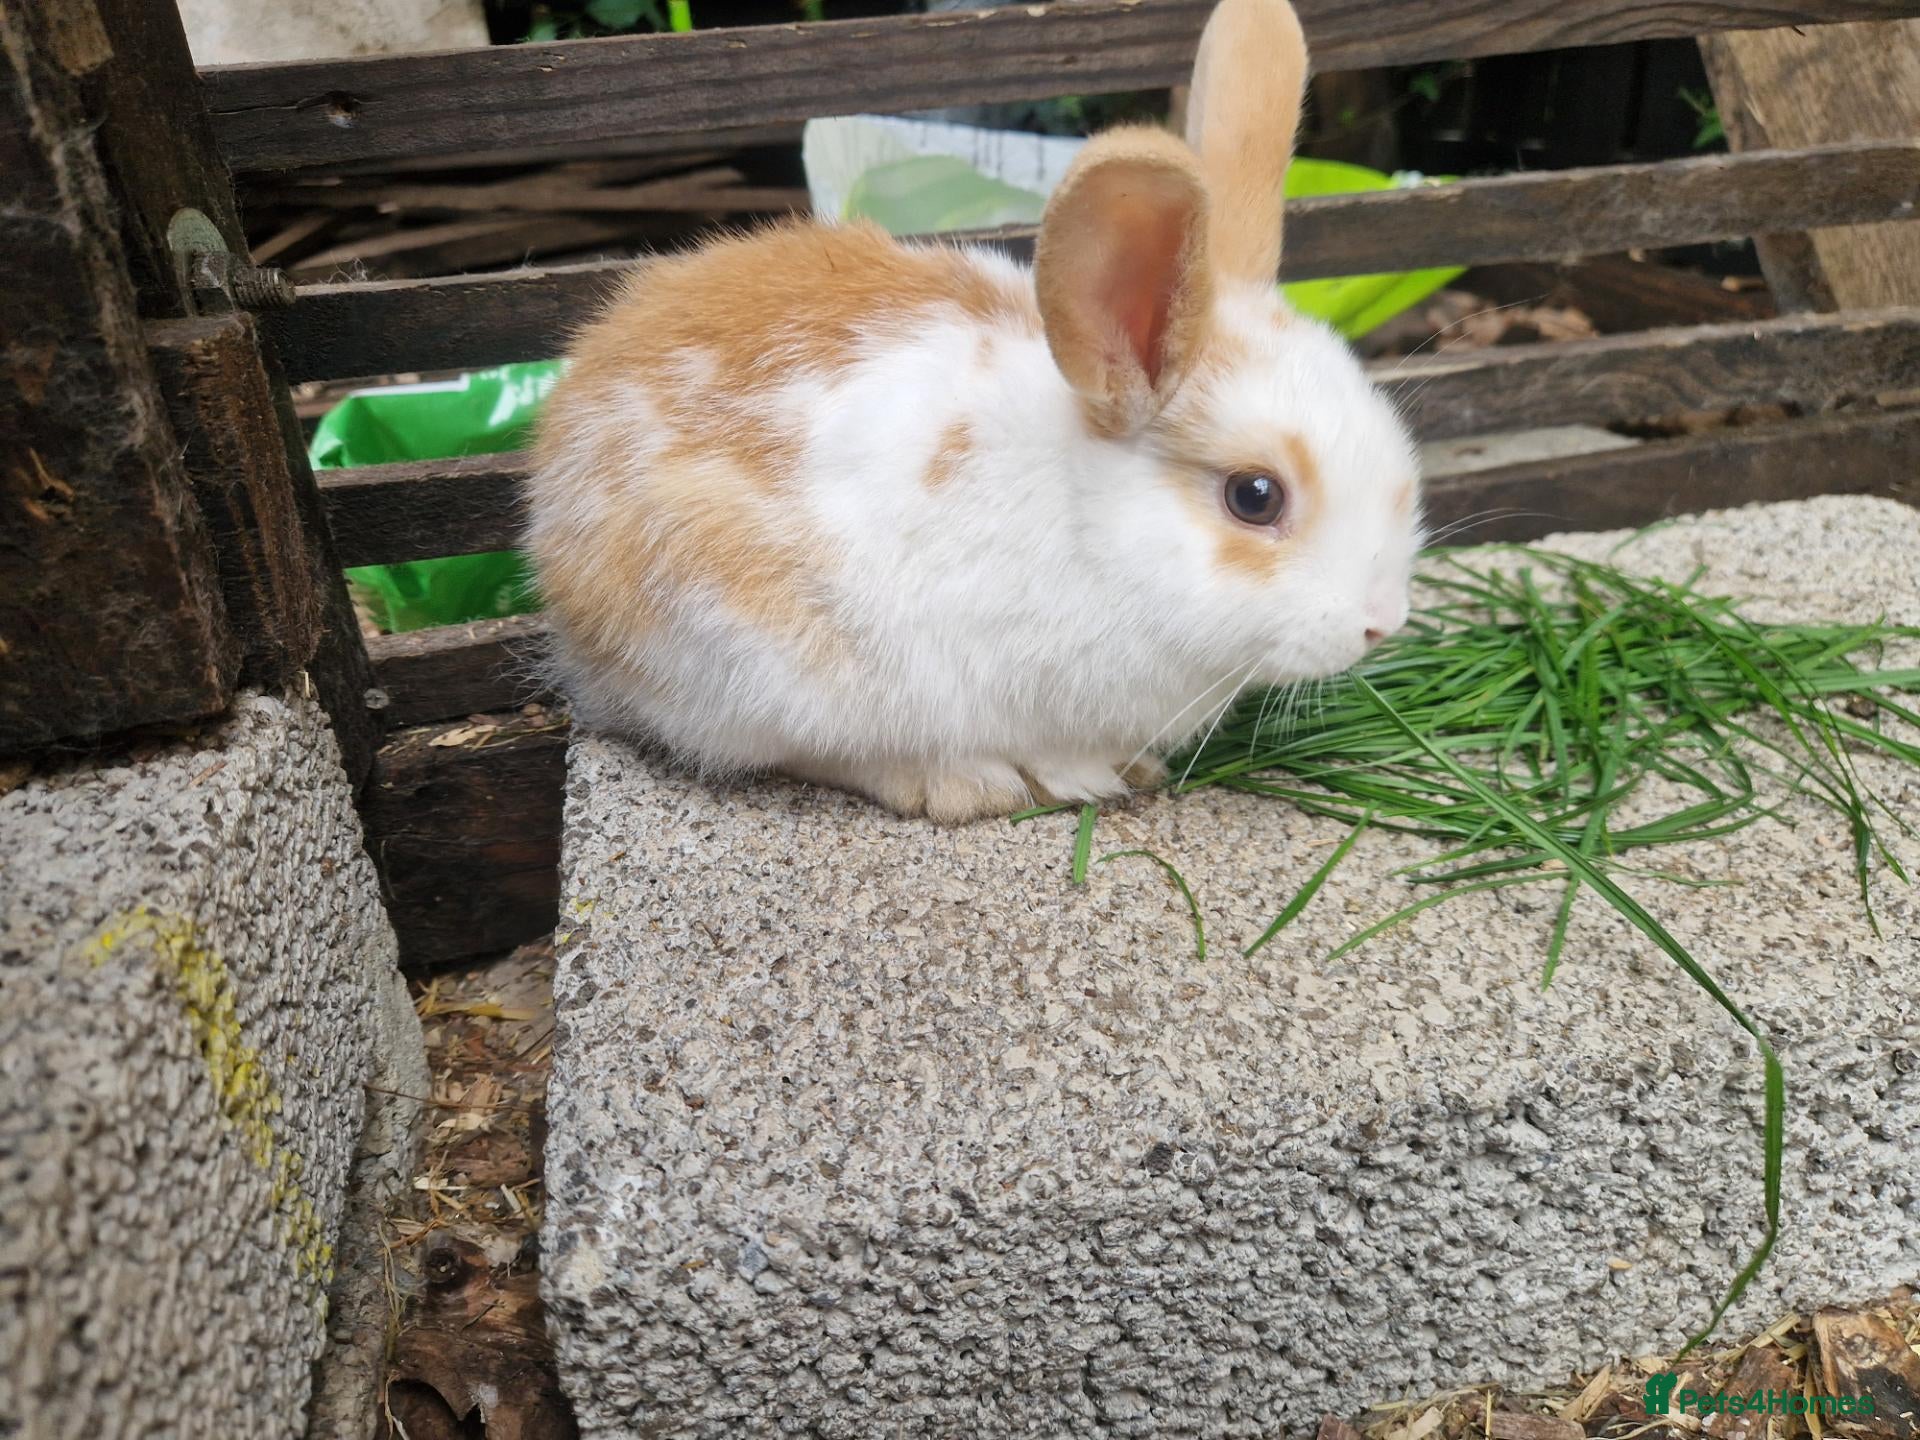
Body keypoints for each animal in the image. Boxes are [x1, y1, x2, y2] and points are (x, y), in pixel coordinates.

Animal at [524, 0, 1423, 824]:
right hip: (749, 653)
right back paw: (964, 785)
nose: (1383, 623)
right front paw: (1075, 777)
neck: (1087, 519)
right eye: (1254, 497)